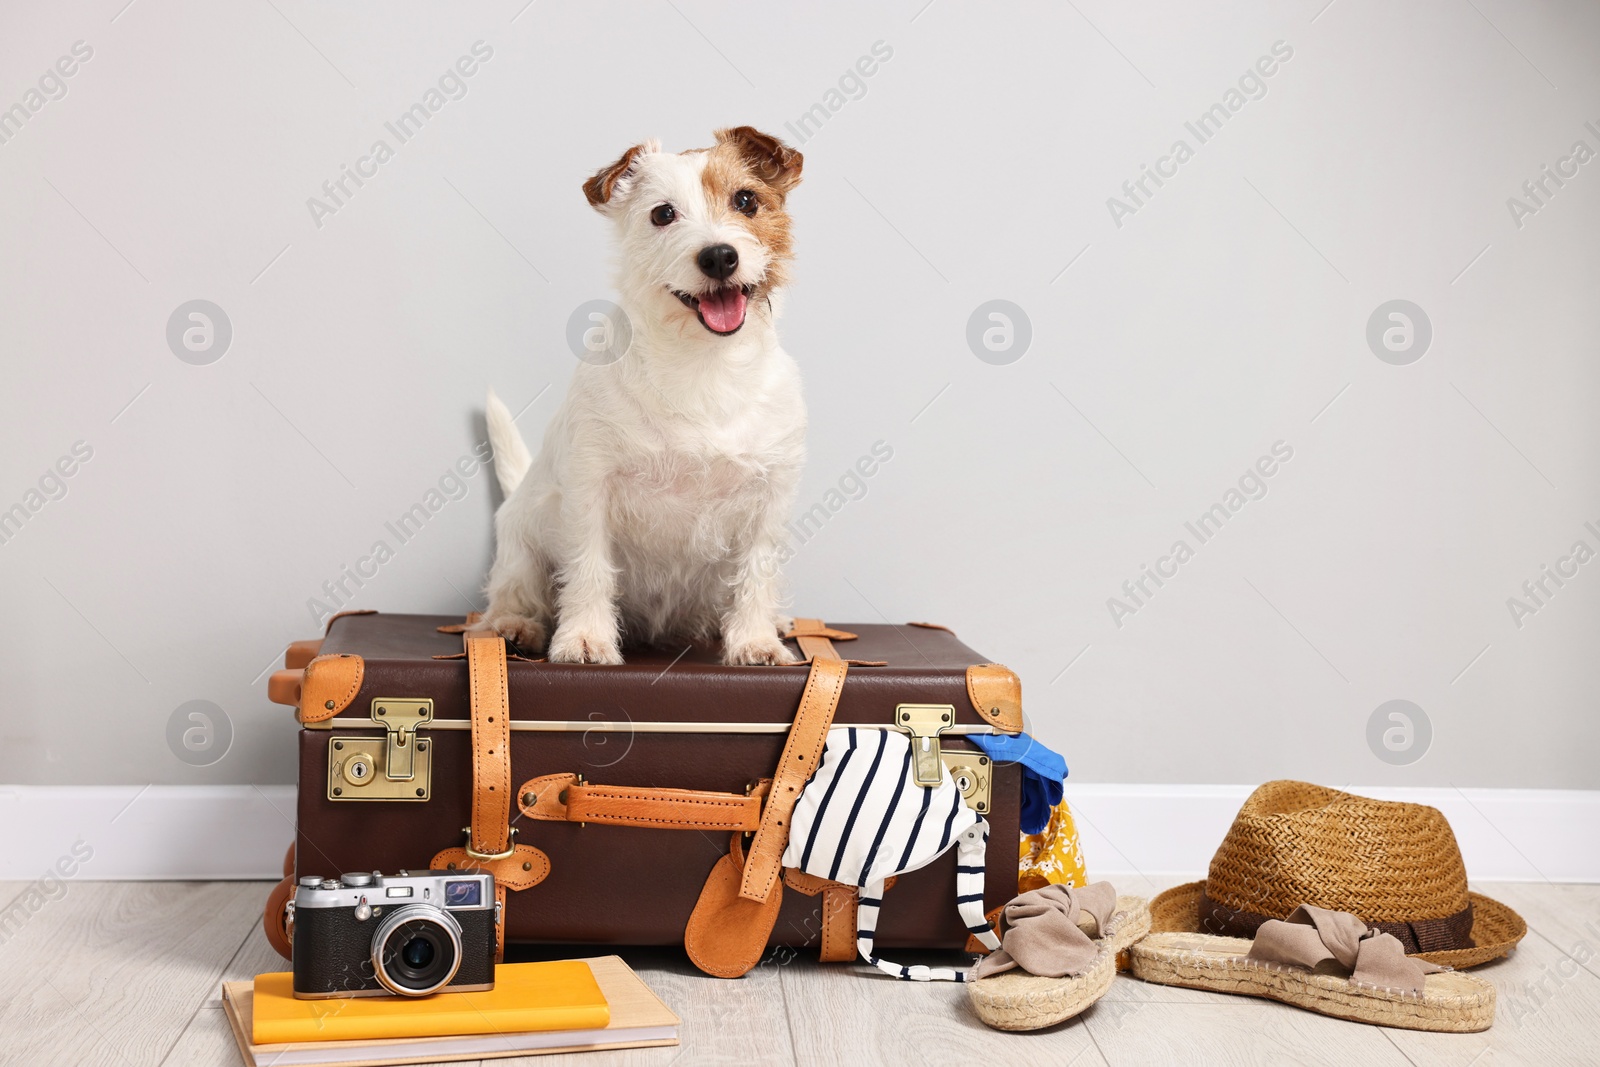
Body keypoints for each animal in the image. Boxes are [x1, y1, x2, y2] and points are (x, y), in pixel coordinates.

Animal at [473, 127, 800, 668]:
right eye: (663, 214)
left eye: (746, 200)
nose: (719, 256)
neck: (702, 363)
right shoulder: (590, 486)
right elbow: (588, 567)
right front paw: (585, 638)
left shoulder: (769, 499)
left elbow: (757, 572)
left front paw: (754, 641)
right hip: (522, 544)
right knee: (514, 591)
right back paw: (514, 626)